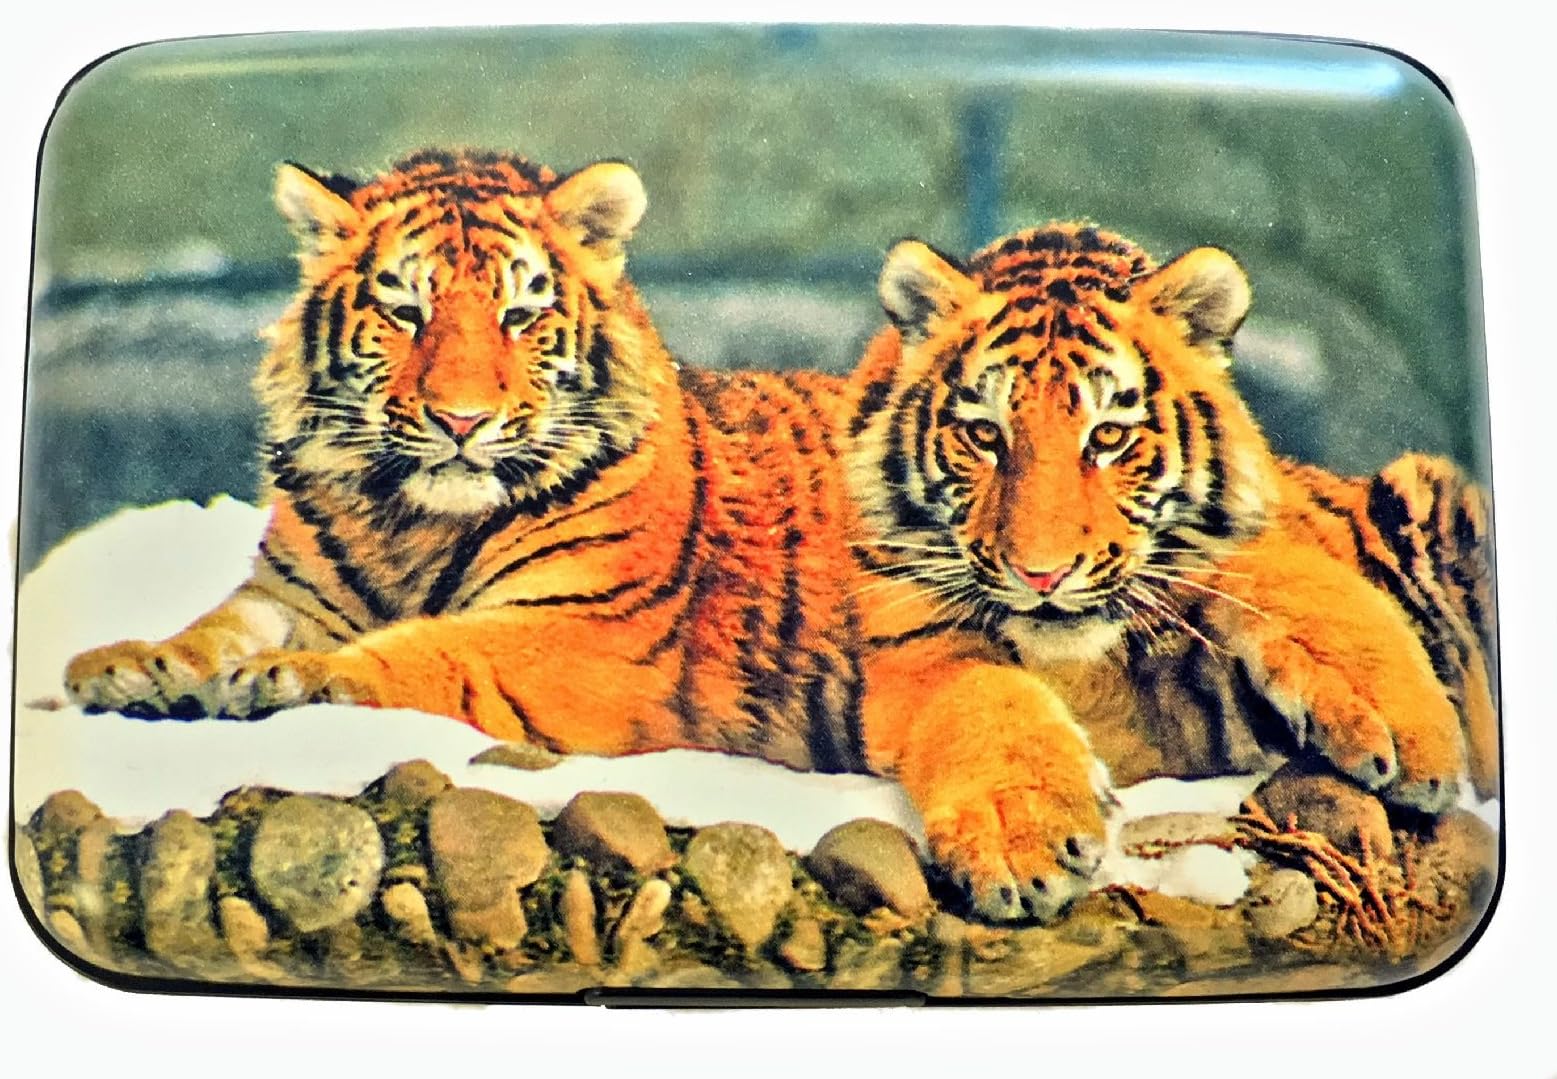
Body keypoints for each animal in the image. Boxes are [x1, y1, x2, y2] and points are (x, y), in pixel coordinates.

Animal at [63, 151, 1112, 924]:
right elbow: (215, 627)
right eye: (404, 311)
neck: (411, 518)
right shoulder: (289, 592)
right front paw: (134, 666)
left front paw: (298, 680)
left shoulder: (581, 631)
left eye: (519, 314)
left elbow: (431, 651)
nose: (461, 419)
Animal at [845, 221, 1498, 824]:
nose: (1041, 577)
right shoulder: (905, 637)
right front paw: (1026, 820)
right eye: (984, 435)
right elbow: (974, 690)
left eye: (1109, 437)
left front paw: (1413, 734)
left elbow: (1280, 569)